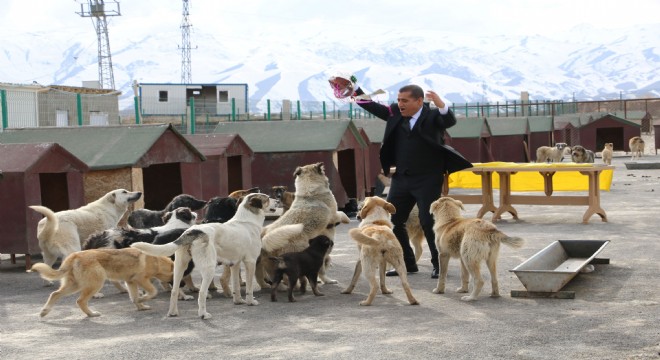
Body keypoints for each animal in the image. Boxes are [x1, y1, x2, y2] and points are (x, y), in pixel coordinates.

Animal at [28, 248, 174, 318]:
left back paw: (44, 311)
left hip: (75, 285)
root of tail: (74, 255)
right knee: (80, 301)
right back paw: (91, 314)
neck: (156, 260)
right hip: (95, 284)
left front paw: (141, 306)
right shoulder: (141, 279)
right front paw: (143, 299)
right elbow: (153, 292)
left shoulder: (131, 282)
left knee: (55, 294)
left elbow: (134, 298)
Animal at [133, 193, 280, 320]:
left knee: (174, 290)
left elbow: (236, 286)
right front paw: (250, 301)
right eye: (267, 198)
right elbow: (249, 287)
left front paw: (238, 301)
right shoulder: (250, 262)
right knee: (202, 293)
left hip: (180, 267)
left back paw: (173, 312)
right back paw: (203, 314)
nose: (278, 200)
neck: (247, 220)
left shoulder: (235, 264)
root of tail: (193, 231)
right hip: (209, 269)